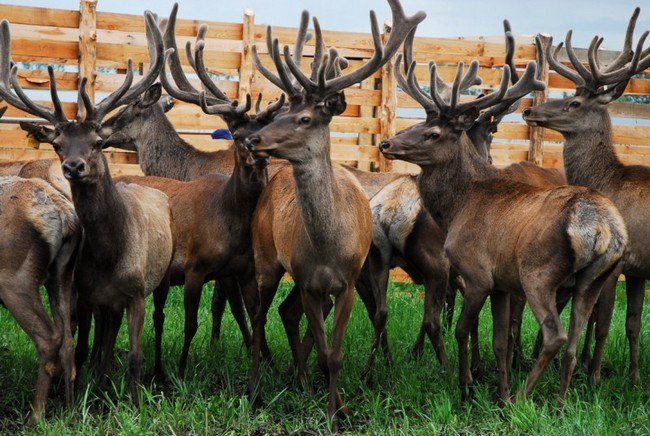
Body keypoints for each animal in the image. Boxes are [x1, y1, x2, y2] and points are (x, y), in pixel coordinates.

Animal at [0, 12, 175, 396]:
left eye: (98, 142)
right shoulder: (89, 295)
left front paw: (134, 402)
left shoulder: (136, 293)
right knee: (93, 345)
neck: (110, 255)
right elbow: (86, 349)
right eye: (58, 144)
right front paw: (90, 395)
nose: (73, 166)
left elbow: (133, 357)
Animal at [0, 174, 79, 422]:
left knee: (49, 337)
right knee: (68, 339)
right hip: (62, 275)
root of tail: (66, 215)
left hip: (15, 282)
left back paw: (36, 416)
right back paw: (70, 412)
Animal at [243, 1, 426, 428]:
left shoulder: (348, 281)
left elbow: (336, 355)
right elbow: (326, 353)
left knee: (279, 314)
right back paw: (256, 386)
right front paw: (332, 411)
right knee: (259, 315)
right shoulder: (309, 281)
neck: (328, 247)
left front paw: (339, 409)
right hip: (264, 257)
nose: (252, 138)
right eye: (279, 114)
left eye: (304, 119)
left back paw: (298, 380)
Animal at [378, 39, 624, 404]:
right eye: (418, 124)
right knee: (575, 338)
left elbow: (463, 330)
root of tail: (602, 227)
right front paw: (500, 393)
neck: (457, 207)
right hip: (596, 277)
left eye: (433, 133)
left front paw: (466, 385)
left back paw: (526, 395)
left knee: (555, 335)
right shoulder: (502, 284)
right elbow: (500, 340)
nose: (387, 143)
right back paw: (559, 401)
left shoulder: (477, 273)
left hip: (538, 272)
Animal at [520, 7, 648, 384]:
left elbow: (604, 323)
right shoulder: (638, 270)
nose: (530, 111)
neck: (608, 180)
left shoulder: (622, 261)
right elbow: (632, 323)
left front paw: (594, 378)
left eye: (574, 102)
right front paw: (634, 377)